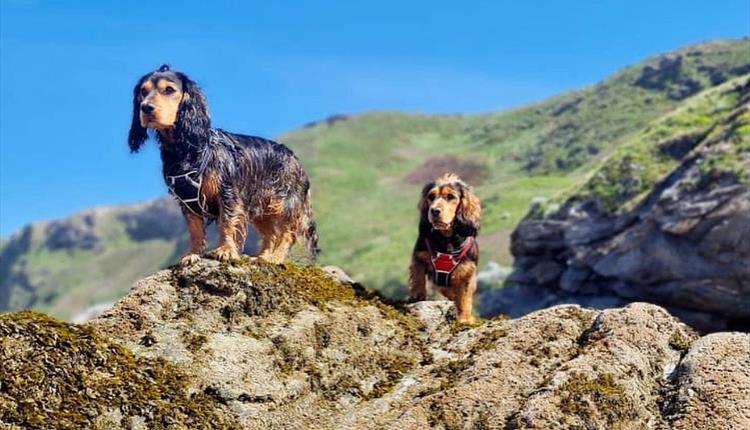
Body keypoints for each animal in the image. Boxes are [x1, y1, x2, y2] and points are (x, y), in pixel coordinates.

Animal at [129, 63, 318, 266]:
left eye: (169, 90)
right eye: (143, 91)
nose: (146, 107)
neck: (186, 148)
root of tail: (295, 159)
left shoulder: (227, 193)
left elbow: (227, 223)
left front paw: (226, 250)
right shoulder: (187, 200)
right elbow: (195, 230)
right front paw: (193, 254)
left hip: (284, 202)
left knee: (288, 233)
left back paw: (275, 258)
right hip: (261, 207)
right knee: (271, 234)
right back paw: (263, 256)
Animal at [412, 174, 482, 322]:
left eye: (450, 197)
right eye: (431, 196)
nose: (434, 211)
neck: (447, 239)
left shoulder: (468, 271)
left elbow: (465, 296)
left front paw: (465, 318)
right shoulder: (419, 255)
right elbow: (418, 274)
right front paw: (417, 294)